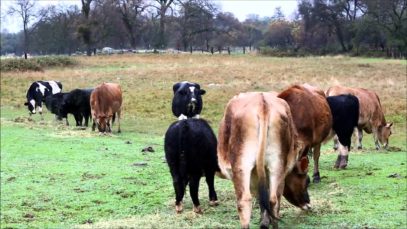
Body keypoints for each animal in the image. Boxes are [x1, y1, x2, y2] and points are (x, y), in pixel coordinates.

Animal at [218, 91, 310, 229]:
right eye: (307, 181)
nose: (308, 204)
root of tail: (262, 103)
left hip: (242, 166)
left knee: (244, 201)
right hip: (277, 164)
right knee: (273, 199)